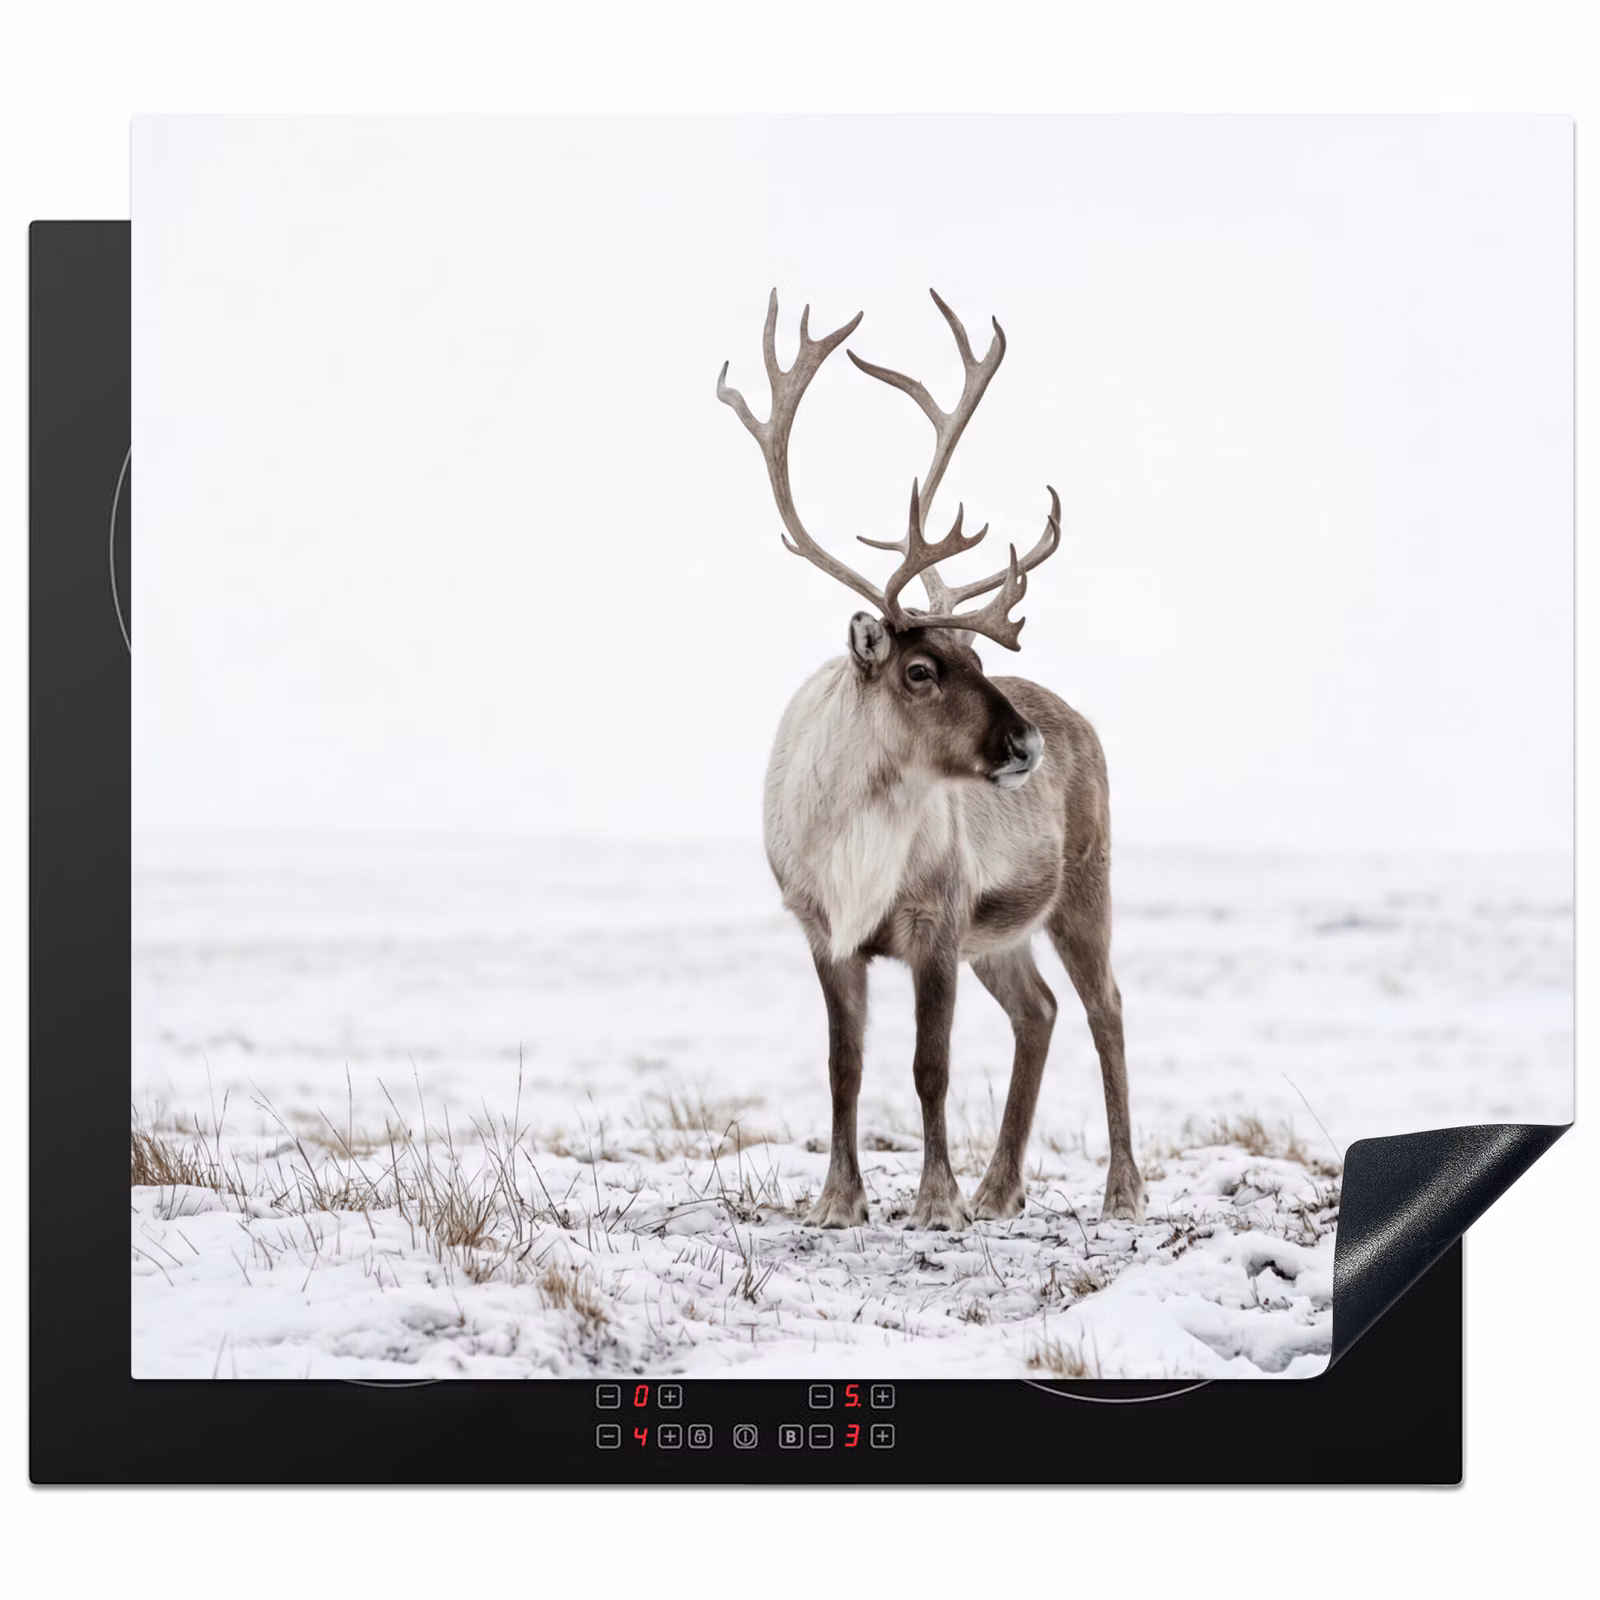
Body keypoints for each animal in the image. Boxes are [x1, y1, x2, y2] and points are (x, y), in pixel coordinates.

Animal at [717, 288, 1144, 1232]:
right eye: (921, 669)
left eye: (978, 658)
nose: (1025, 745)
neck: (856, 837)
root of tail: (1082, 720)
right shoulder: (824, 932)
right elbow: (844, 1067)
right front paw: (839, 1201)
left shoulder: (938, 924)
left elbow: (928, 1067)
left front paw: (936, 1201)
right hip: (1002, 936)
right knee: (1039, 1012)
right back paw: (1001, 1187)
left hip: (1082, 889)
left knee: (1104, 1006)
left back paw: (1122, 1190)